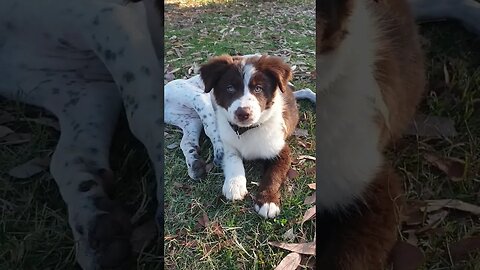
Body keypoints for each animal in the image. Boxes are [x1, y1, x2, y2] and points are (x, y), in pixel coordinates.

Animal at [198, 54, 296, 219]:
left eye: (258, 88)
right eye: (230, 88)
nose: (243, 113)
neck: (246, 130)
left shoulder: (281, 150)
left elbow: (273, 175)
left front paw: (268, 201)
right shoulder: (227, 144)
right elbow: (233, 159)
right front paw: (234, 184)